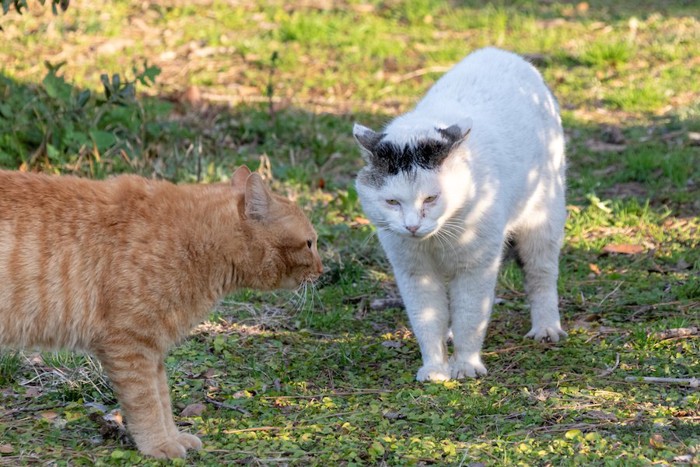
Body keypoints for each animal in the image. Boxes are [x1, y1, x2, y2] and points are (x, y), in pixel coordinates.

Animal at [0, 166, 322, 458]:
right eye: (310, 243)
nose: (322, 270)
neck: (197, 241)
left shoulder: (152, 349)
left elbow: (162, 399)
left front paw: (173, 436)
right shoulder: (130, 345)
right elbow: (147, 404)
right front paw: (158, 445)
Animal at [356, 46, 568, 384]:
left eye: (431, 198)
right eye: (392, 202)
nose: (412, 226)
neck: (435, 240)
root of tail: (498, 52)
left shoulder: (475, 266)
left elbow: (471, 315)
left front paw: (466, 365)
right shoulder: (413, 271)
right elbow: (427, 319)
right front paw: (435, 368)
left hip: (543, 219)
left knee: (541, 274)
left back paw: (547, 328)